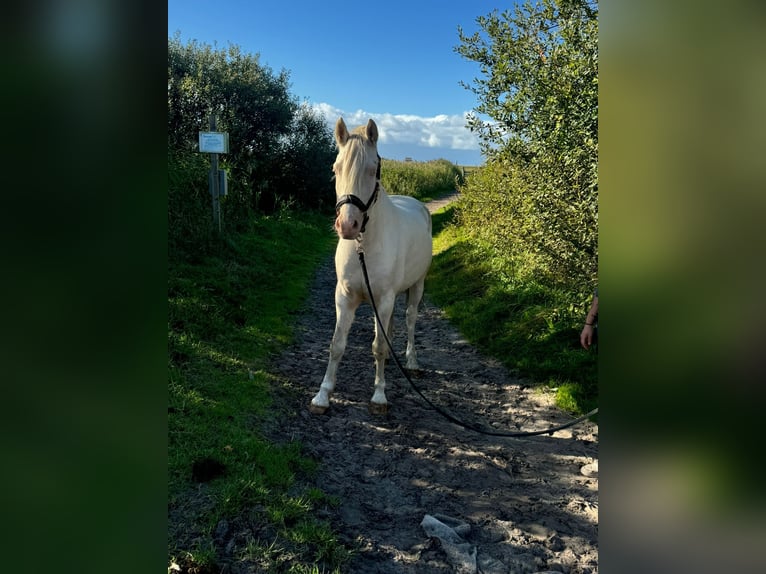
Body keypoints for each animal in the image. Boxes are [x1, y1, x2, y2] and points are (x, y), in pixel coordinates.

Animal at [310, 118, 432, 414]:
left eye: (372, 169)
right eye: (335, 168)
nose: (347, 225)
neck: (363, 246)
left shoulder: (384, 299)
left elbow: (379, 346)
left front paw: (378, 396)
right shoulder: (344, 297)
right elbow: (337, 345)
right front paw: (322, 395)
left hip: (417, 285)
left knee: (410, 319)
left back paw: (411, 361)